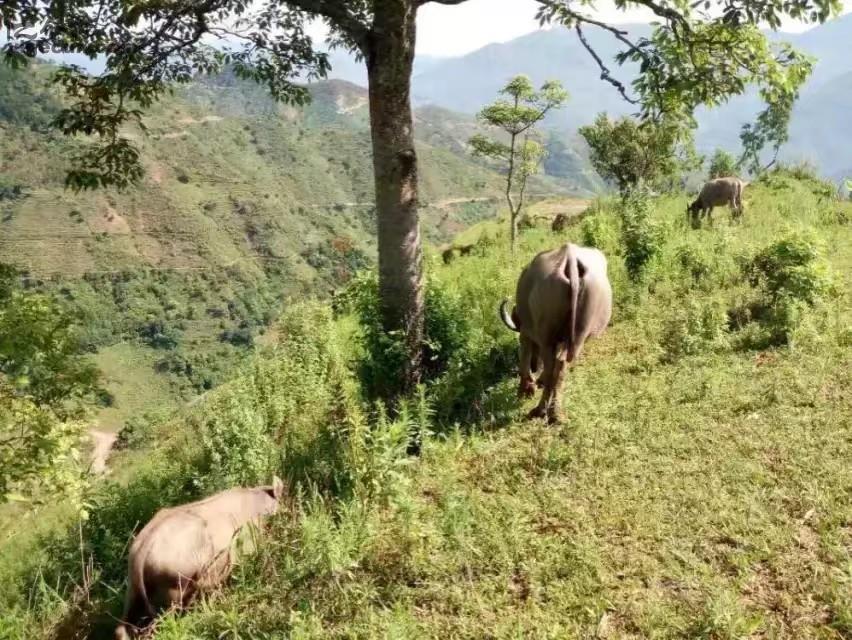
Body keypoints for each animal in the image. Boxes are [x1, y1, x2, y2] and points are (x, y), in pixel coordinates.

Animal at [500, 242, 612, 422]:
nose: (535, 365)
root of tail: (570, 258)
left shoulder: (526, 333)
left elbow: (524, 359)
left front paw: (525, 389)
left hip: (547, 336)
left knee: (551, 367)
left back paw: (540, 410)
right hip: (580, 336)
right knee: (561, 367)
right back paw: (556, 413)